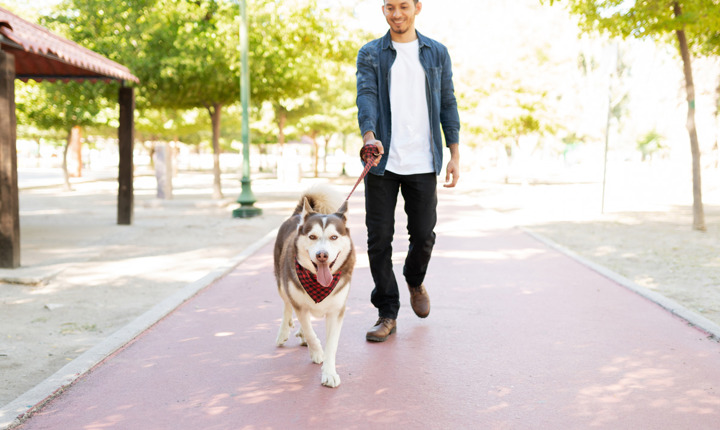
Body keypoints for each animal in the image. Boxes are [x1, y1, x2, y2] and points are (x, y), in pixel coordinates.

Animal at [274, 186, 356, 388]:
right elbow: (311, 333)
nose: (322, 255)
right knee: (287, 305)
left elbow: (332, 344)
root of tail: (297, 215)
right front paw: (317, 351)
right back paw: (284, 331)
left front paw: (329, 373)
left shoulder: (336, 310)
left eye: (334, 237)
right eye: (312, 236)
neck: (319, 286)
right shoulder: (300, 304)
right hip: (282, 284)